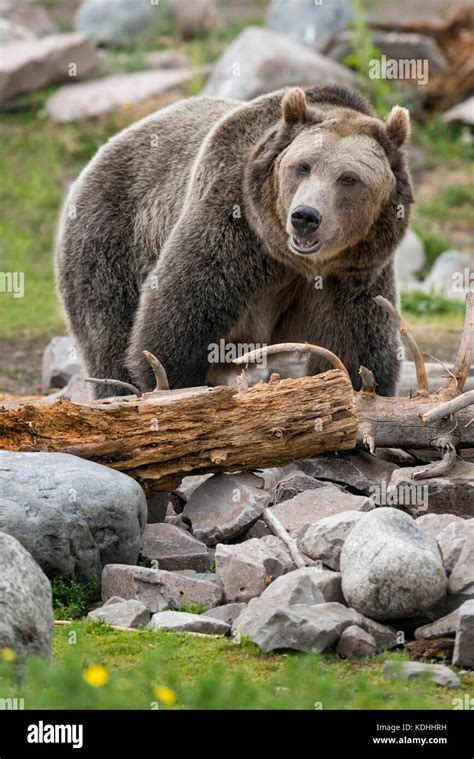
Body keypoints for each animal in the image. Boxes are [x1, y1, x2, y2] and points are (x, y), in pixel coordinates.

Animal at [54, 84, 412, 398]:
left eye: (349, 178)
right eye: (303, 166)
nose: (305, 216)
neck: (296, 263)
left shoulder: (354, 274)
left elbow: (357, 350)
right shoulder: (234, 227)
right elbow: (174, 326)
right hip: (112, 241)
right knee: (108, 336)